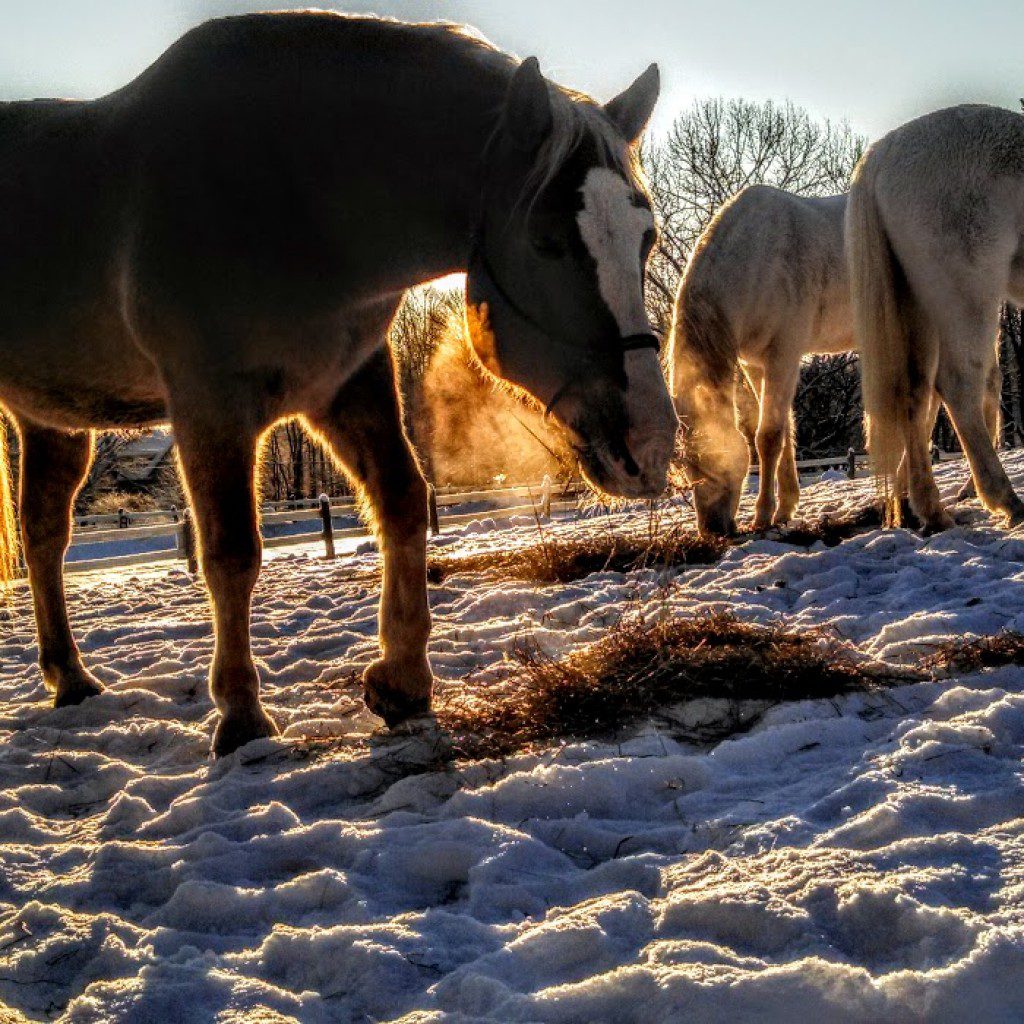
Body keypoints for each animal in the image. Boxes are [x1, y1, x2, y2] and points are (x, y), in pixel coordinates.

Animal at [0, 12, 675, 757]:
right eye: (547, 240)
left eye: (646, 237)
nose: (650, 442)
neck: (291, 192)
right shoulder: (209, 404)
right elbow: (231, 550)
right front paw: (241, 715)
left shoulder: (349, 385)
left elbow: (402, 500)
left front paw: (402, 681)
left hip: (52, 422)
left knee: (43, 535)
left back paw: (70, 677)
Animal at [675, 185, 851, 536]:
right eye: (689, 466)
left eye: (718, 460)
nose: (712, 530)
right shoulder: (754, 364)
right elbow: (784, 430)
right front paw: (785, 509)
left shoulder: (784, 354)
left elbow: (767, 436)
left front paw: (763, 516)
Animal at [843, 104, 1019, 536]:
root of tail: (883, 152)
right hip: (966, 295)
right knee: (959, 386)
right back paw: (1004, 499)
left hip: (919, 307)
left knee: (918, 392)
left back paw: (927, 507)